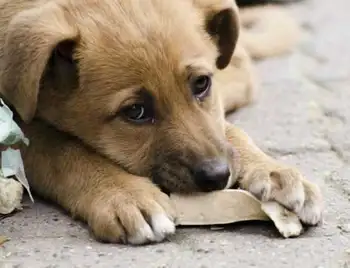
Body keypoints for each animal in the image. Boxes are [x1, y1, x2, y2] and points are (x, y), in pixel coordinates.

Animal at [0, 0, 322, 244]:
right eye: (135, 112)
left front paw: (270, 169)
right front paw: (125, 195)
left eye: (201, 84)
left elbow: (225, 130)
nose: (218, 177)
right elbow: (61, 147)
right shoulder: (16, 125)